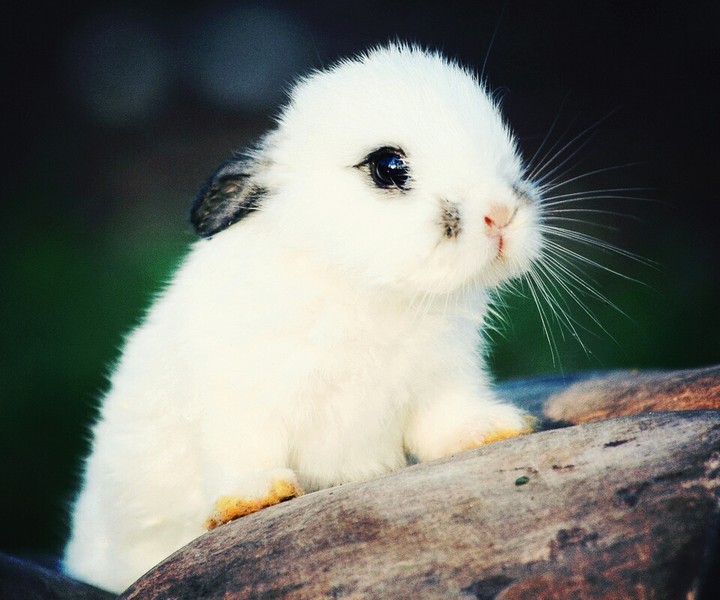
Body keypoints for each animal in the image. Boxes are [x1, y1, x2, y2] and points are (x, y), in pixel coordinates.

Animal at [63, 43, 543, 593]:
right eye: (388, 166)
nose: (501, 215)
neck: (368, 289)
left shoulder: (442, 382)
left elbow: (447, 424)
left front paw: (496, 429)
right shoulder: (239, 400)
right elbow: (244, 451)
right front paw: (255, 499)